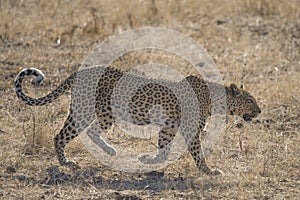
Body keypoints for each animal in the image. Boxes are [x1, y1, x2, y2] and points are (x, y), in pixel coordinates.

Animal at [14, 66, 260, 175]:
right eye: (250, 100)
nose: (260, 110)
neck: (215, 100)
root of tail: (81, 71)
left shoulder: (168, 128)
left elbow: (163, 148)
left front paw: (149, 160)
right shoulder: (190, 130)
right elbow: (198, 153)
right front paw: (209, 171)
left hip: (107, 114)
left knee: (93, 131)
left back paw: (110, 150)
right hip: (84, 111)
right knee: (61, 135)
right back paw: (66, 163)